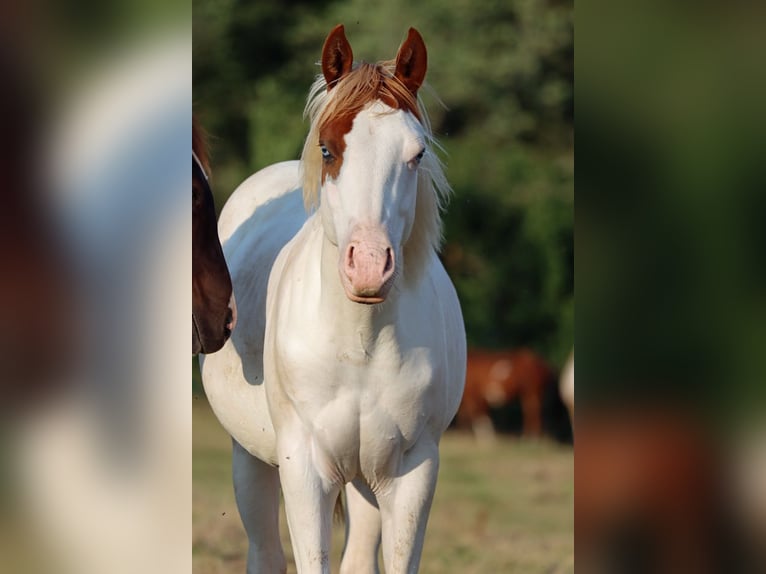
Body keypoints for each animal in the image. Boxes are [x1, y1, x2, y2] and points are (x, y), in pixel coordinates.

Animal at [200, 25, 466, 573]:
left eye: (417, 154)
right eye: (326, 149)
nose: (368, 265)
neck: (359, 345)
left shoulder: (412, 474)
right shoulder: (304, 472)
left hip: (366, 481)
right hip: (250, 459)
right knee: (265, 552)